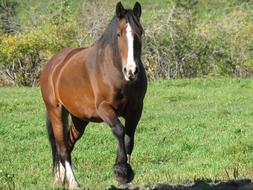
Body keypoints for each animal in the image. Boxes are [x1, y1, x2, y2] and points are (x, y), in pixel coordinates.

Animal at [39, 1, 146, 189]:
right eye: (119, 34)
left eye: (140, 32)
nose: (131, 71)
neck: (117, 73)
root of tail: (52, 65)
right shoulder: (105, 109)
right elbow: (119, 130)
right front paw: (121, 171)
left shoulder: (135, 110)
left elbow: (129, 138)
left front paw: (127, 173)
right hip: (56, 112)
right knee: (62, 148)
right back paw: (73, 182)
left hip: (79, 119)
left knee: (68, 143)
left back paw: (60, 178)